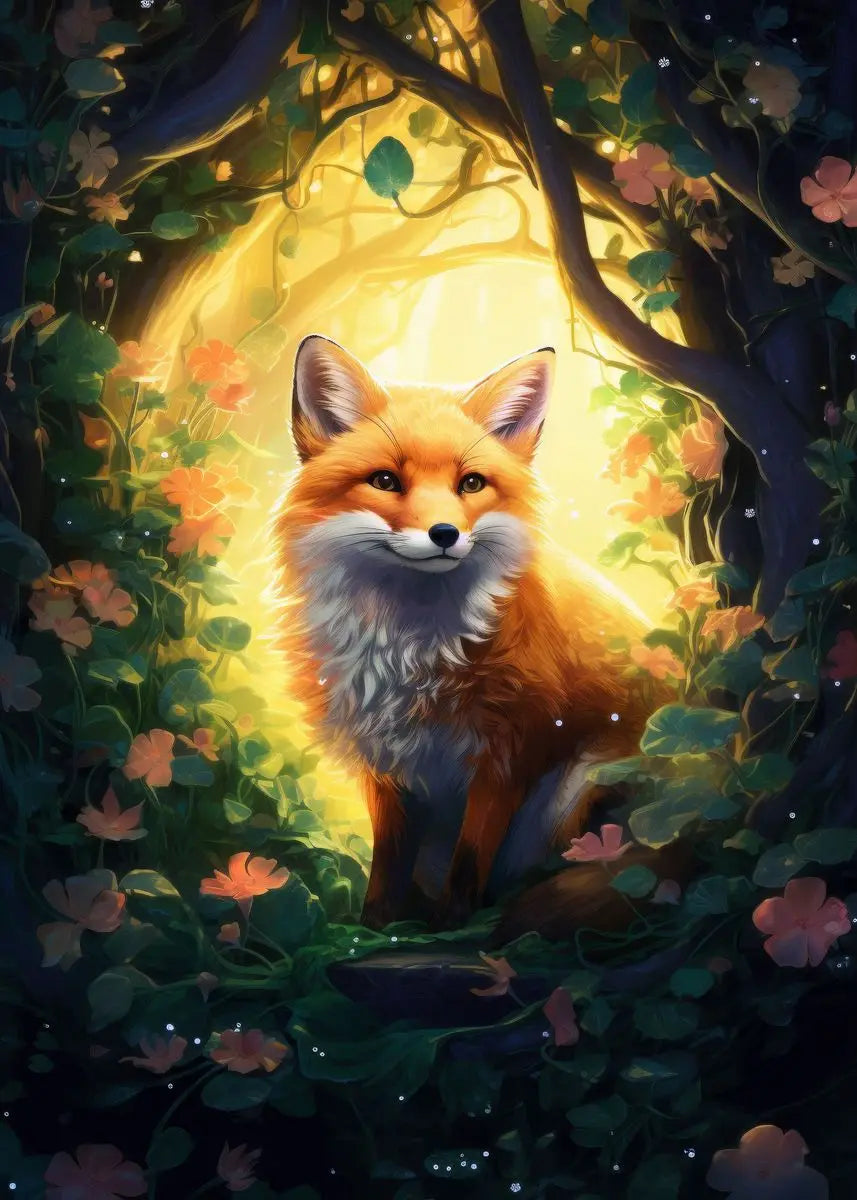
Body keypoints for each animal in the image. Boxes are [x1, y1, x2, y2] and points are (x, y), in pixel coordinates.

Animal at [273, 335, 678, 939]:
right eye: (386, 481)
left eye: (470, 484)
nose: (445, 534)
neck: (412, 647)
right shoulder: (389, 764)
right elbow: (387, 866)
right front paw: (375, 930)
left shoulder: (509, 750)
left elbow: (469, 862)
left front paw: (452, 927)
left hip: (580, 795)